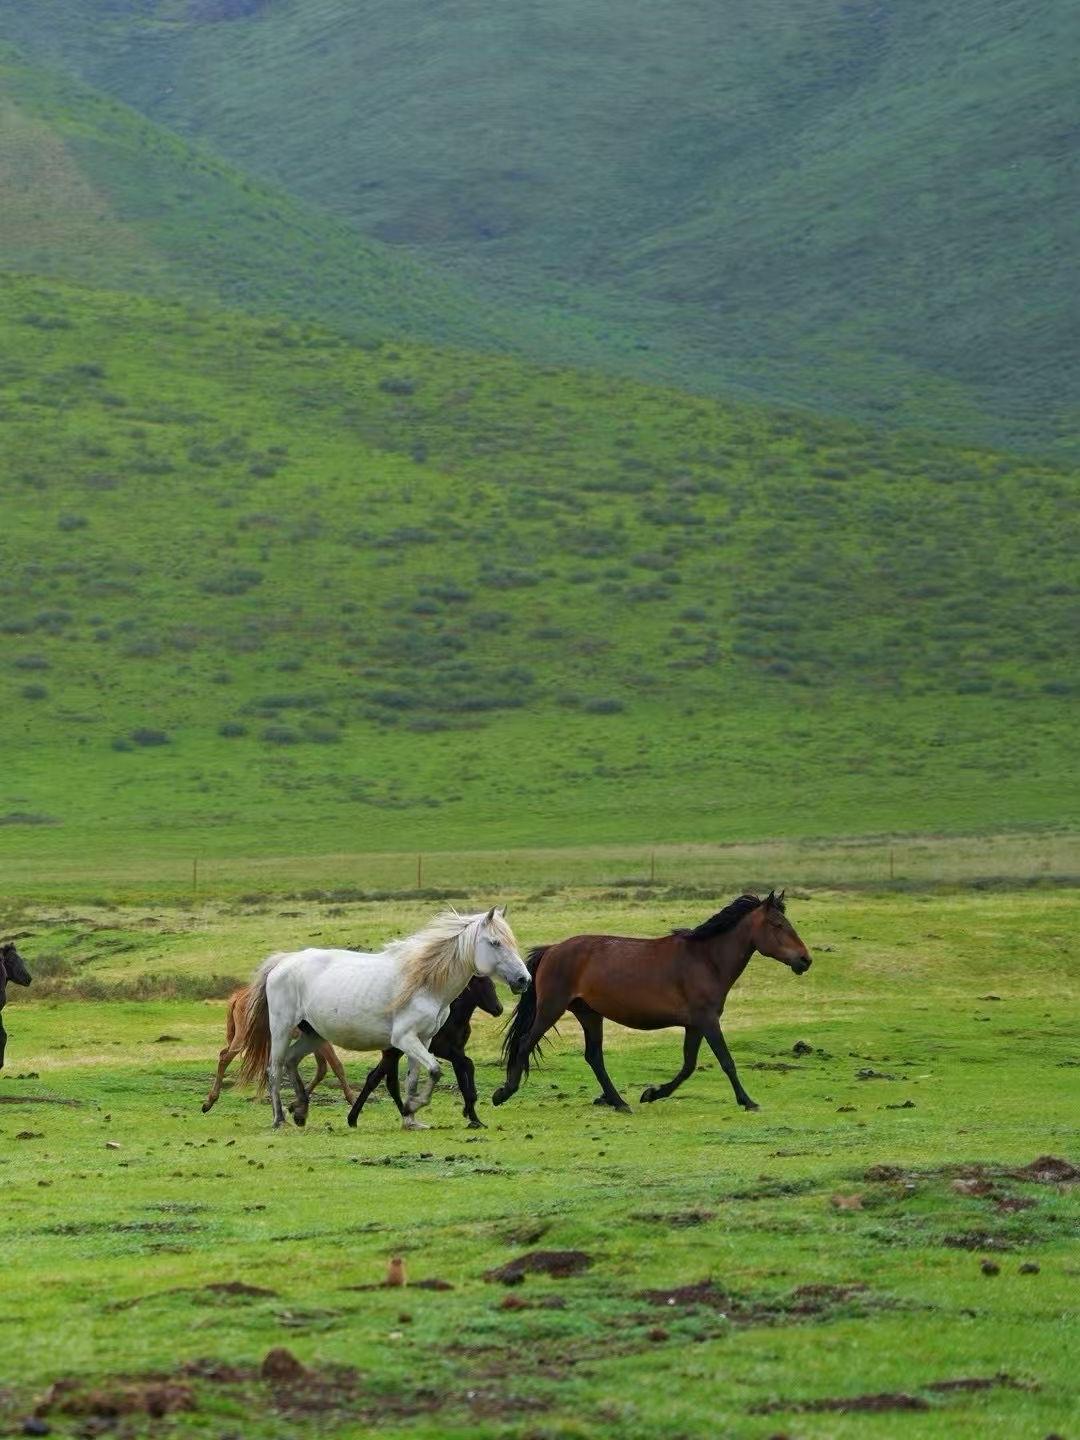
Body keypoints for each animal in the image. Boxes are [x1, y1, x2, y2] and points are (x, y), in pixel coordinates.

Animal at [201, 985, 358, 1114]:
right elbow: (337, 1066)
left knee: (224, 1054)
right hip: (245, 1038)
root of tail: (239, 996)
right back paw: (210, 1101)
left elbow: (322, 1070)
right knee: (224, 1058)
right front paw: (352, 1099)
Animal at [345, 974, 504, 1130]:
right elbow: (469, 1064)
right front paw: (470, 1111)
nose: (499, 1009)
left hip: (396, 1052)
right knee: (378, 1079)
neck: (455, 1018)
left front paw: (475, 1118)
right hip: (394, 1052)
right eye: (482, 983)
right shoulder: (444, 1050)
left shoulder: (458, 1050)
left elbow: (463, 1078)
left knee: (384, 1080)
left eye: (493, 985)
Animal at [493, 891, 812, 1114]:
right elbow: (726, 1061)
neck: (706, 960)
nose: (805, 960)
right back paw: (504, 1093)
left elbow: (688, 1066)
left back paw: (619, 1102)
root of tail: (552, 950)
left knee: (594, 1057)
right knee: (525, 1043)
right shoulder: (708, 1021)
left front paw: (652, 1093)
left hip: (590, 1014)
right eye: (777, 924)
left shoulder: (695, 1025)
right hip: (552, 1009)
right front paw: (747, 1100)